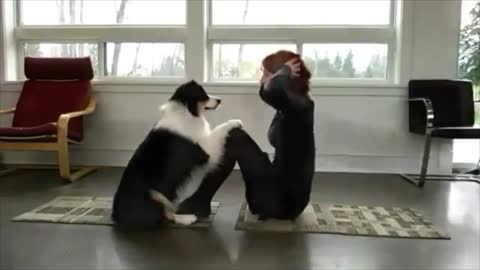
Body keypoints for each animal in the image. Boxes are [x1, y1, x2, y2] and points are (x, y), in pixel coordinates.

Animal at [112, 80, 244, 230]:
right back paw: (187, 218)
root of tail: (116, 216)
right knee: (164, 216)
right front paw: (234, 121)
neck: (186, 111)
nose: (220, 100)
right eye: (203, 94)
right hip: (153, 194)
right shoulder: (205, 150)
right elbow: (219, 129)